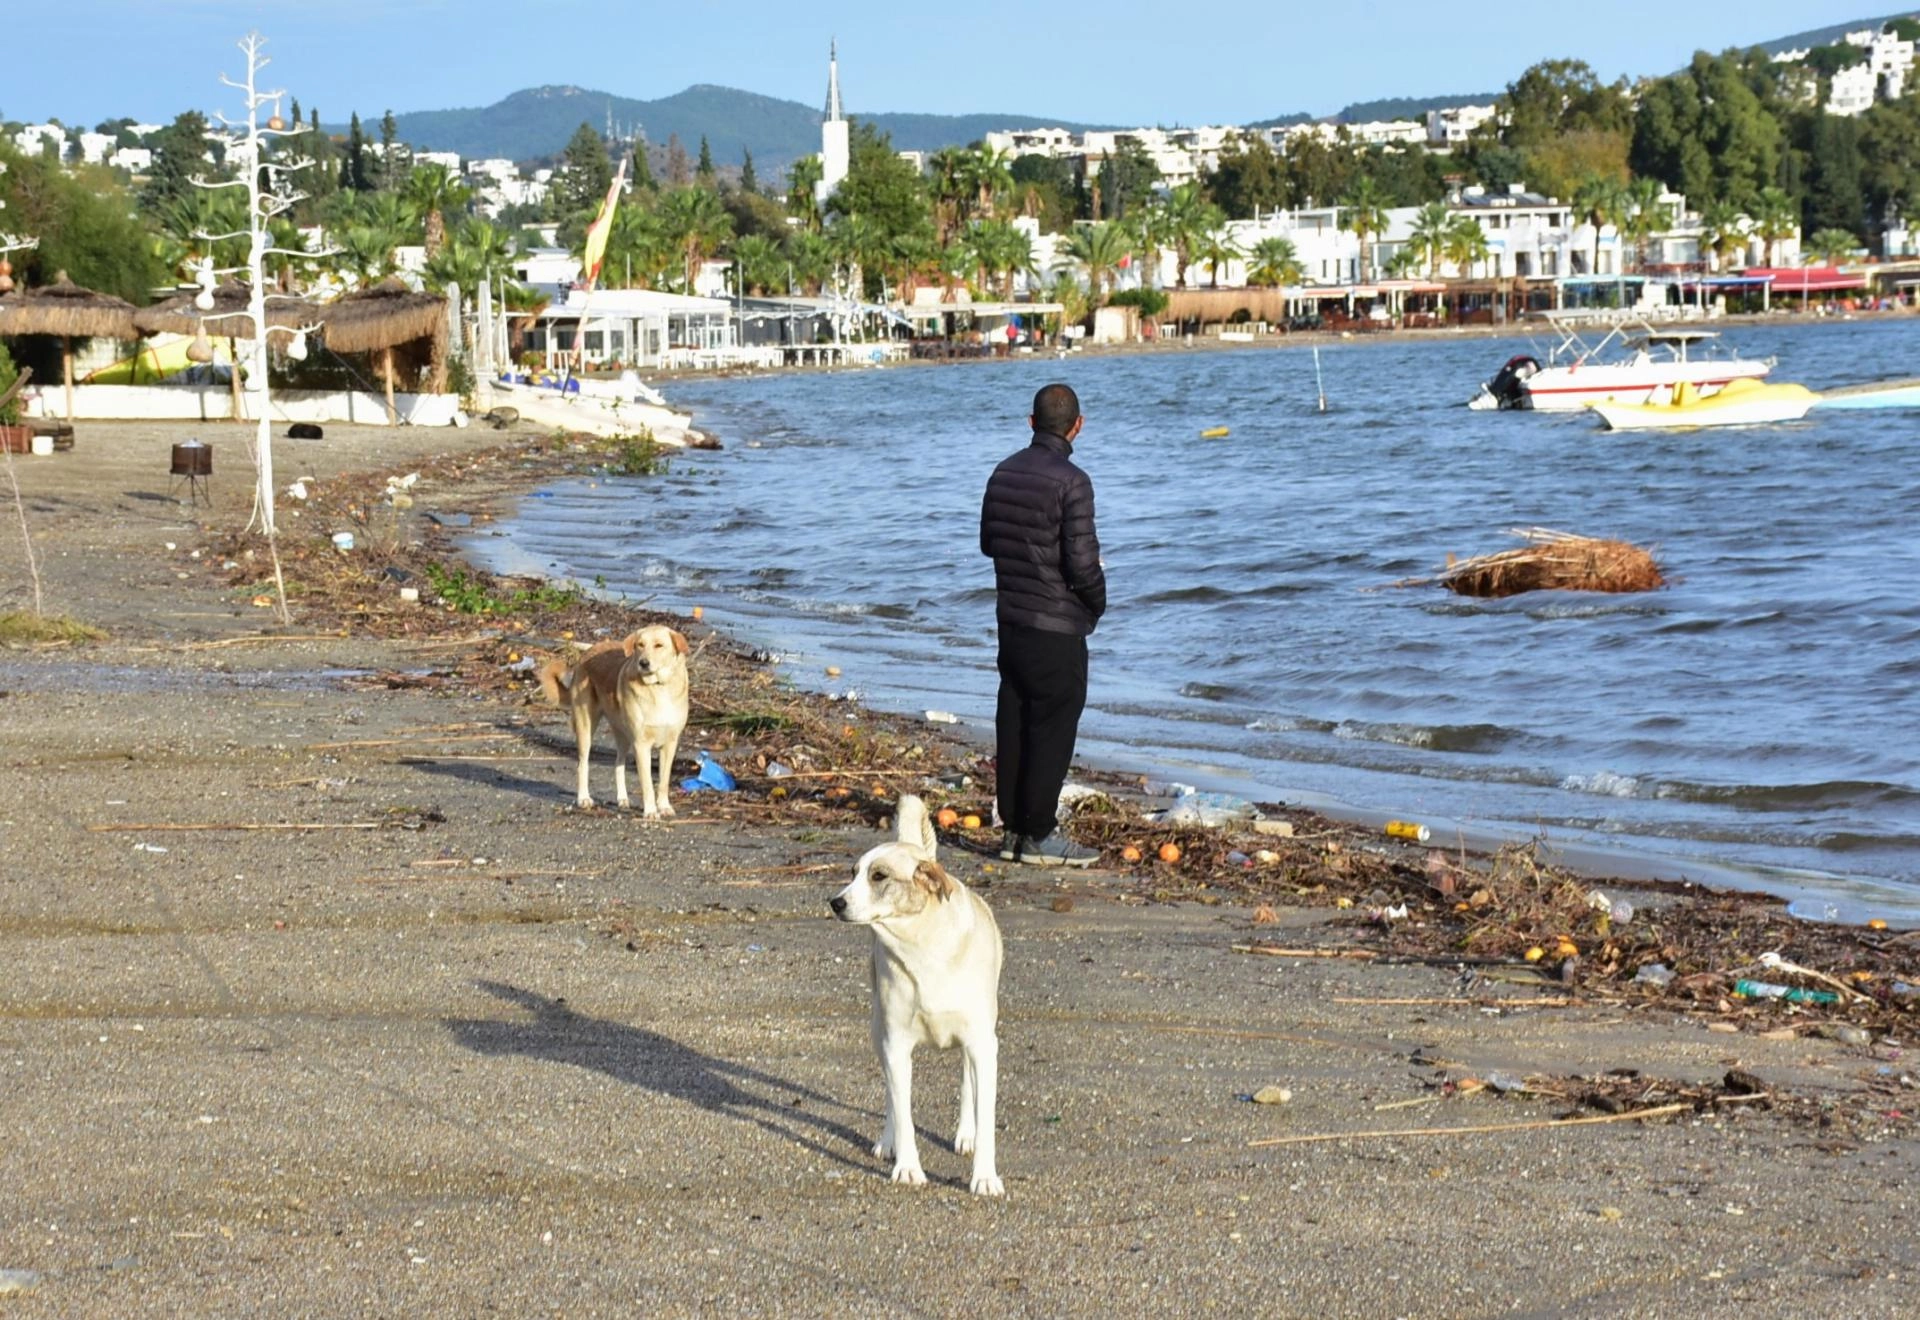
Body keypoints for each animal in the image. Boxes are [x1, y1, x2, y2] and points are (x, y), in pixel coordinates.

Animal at [537, 625, 690, 816]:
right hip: (586, 728)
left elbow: (663, 781)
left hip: (623, 736)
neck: (658, 687)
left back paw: (622, 798)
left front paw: (664, 806)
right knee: (582, 764)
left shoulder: (670, 745)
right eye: (640, 645)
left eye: (659, 645)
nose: (643, 663)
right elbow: (647, 783)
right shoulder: (641, 745)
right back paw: (583, 798)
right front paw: (650, 811)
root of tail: (587, 652)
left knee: (618, 763)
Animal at [830, 795, 1005, 1196]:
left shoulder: (982, 1043)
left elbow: (985, 1115)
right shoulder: (896, 1043)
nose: (835, 902)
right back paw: (888, 1140)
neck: (923, 946)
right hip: (879, 1030)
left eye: (878, 876)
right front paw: (908, 1167)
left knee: (967, 1079)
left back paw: (965, 1134)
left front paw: (984, 1176)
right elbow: (903, 1111)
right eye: (853, 873)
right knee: (892, 1097)